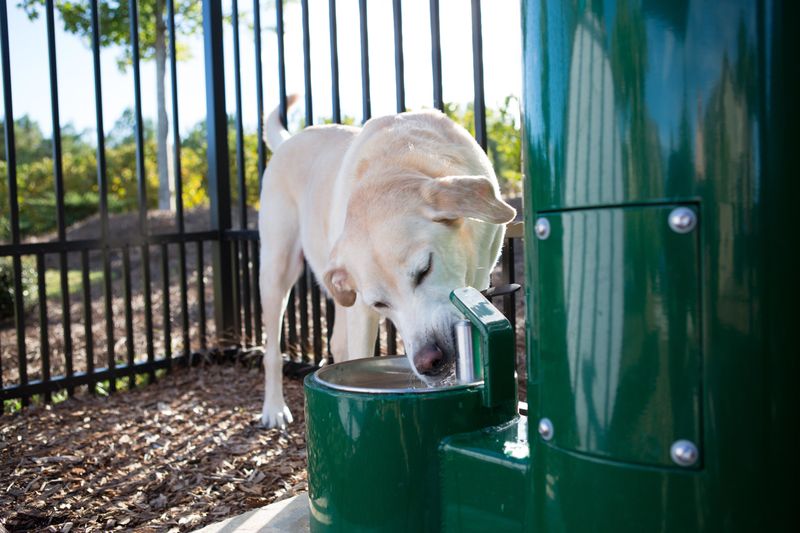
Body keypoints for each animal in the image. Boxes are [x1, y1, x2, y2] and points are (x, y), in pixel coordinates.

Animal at [260, 96, 516, 428]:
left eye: (424, 270)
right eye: (380, 304)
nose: (429, 361)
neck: (399, 162)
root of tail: (289, 140)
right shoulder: (361, 310)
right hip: (277, 270)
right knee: (272, 352)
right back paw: (274, 407)